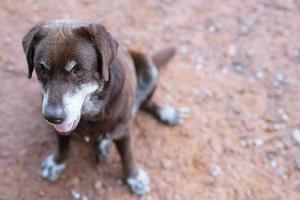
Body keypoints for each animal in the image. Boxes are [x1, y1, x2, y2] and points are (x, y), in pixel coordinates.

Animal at [21, 19, 190, 195]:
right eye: (42, 69)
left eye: (77, 69)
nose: (52, 117)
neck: (90, 111)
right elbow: (62, 145)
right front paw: (56, 163)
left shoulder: (123, 129)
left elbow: (127, 156)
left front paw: (134, 177)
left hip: (148, 69)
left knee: (142, 103)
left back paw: (166, 113)